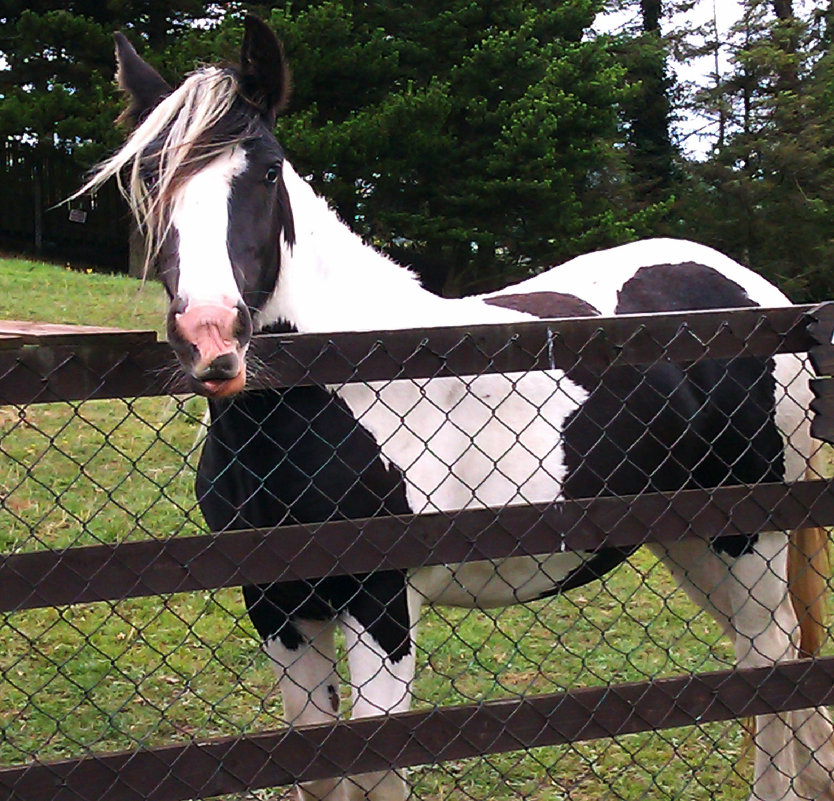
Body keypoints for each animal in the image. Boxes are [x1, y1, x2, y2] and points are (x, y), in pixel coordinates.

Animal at [79, 17, 832, 800]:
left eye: (266, 171)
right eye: (150, 177)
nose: (211, 335)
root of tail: (766, 297)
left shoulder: (380, 604)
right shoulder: (277, 605)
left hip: (750, 538)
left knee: (772, 657)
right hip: (691, 540)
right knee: (766, 658)